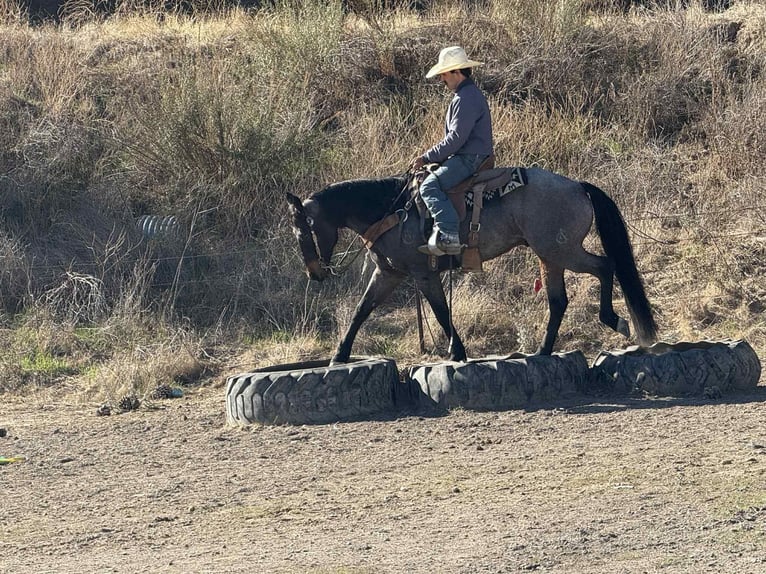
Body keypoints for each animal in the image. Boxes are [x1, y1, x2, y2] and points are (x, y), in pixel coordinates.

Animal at [286, 166, 658, 364]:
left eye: (305, 230)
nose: (314, 273)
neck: (389, 211)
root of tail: (578, 186)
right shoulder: (388, 273)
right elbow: (362, 310)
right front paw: (340, 355)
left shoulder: (423, 274)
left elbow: (440, 312)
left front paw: (458, 351)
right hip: (549, 256)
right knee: (559, 300)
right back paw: (542, 350)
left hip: (562, 251)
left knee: (604, 266)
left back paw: (612, 320)